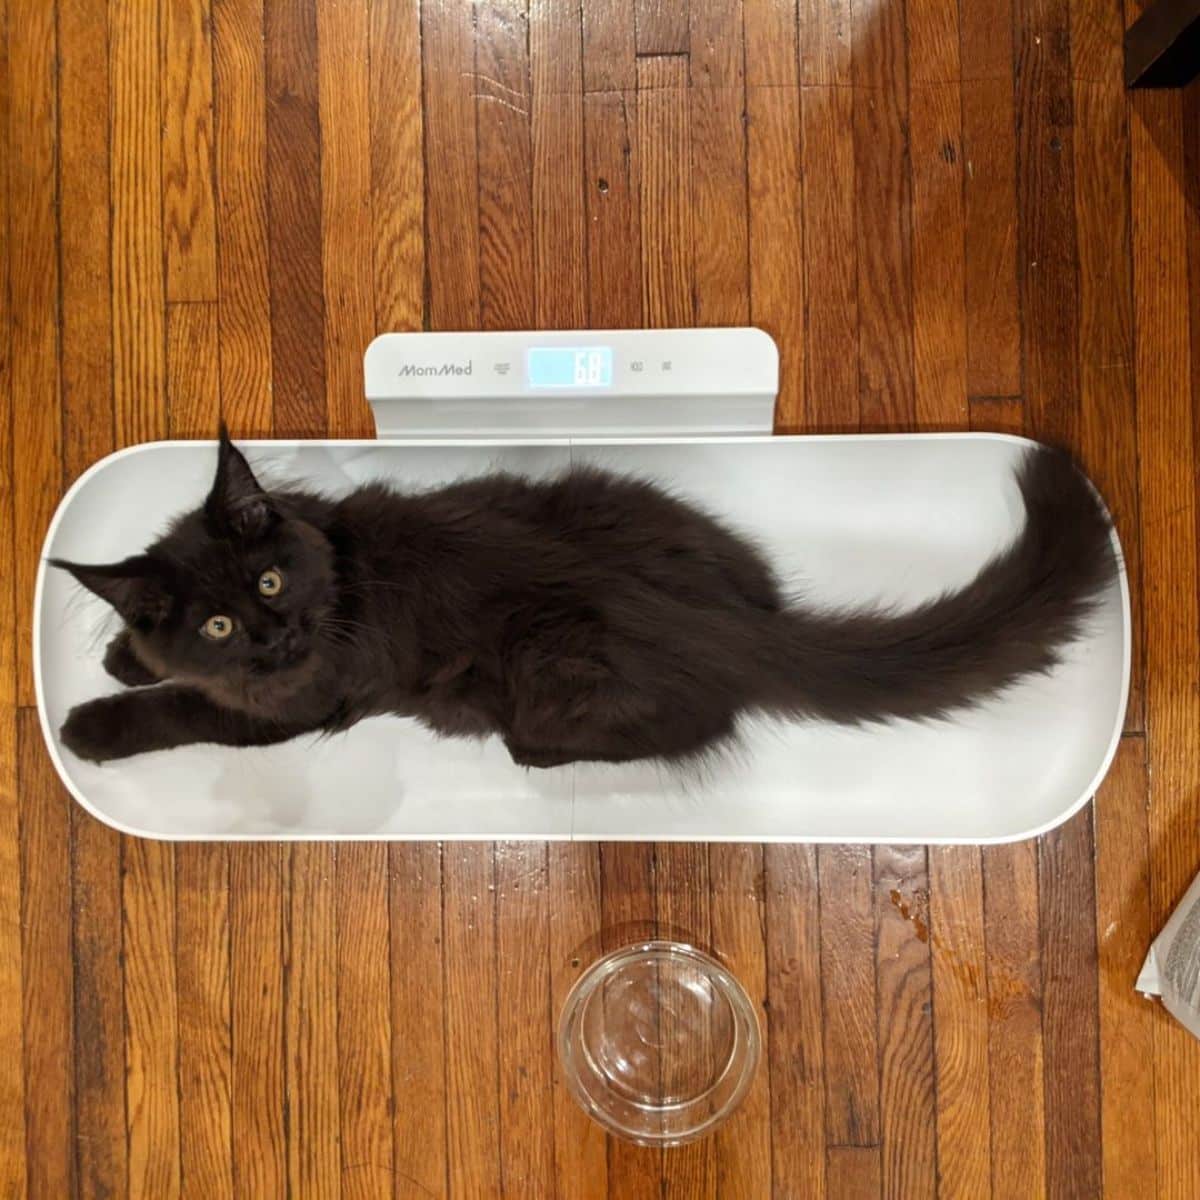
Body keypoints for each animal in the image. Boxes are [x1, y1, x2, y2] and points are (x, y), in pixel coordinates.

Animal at [46, 432, 1113, 768]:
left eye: (266, 582)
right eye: (220, 621)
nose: (276, 631)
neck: (335, 566)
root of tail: (730, 622)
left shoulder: (294, 704)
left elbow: (187, 708)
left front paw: (91, 722)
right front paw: (120, 652)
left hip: (552, 671)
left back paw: (534, 750)